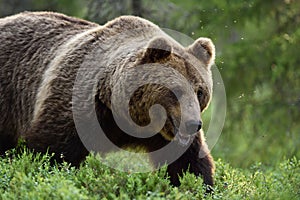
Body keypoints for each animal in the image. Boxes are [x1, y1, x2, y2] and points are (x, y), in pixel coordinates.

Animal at [0, 11, 216, 188]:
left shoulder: (165, 136)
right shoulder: (80, 104)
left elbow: (189, 163)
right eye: (176, 90)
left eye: (200, 91)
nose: (192, 124)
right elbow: (51, 150)